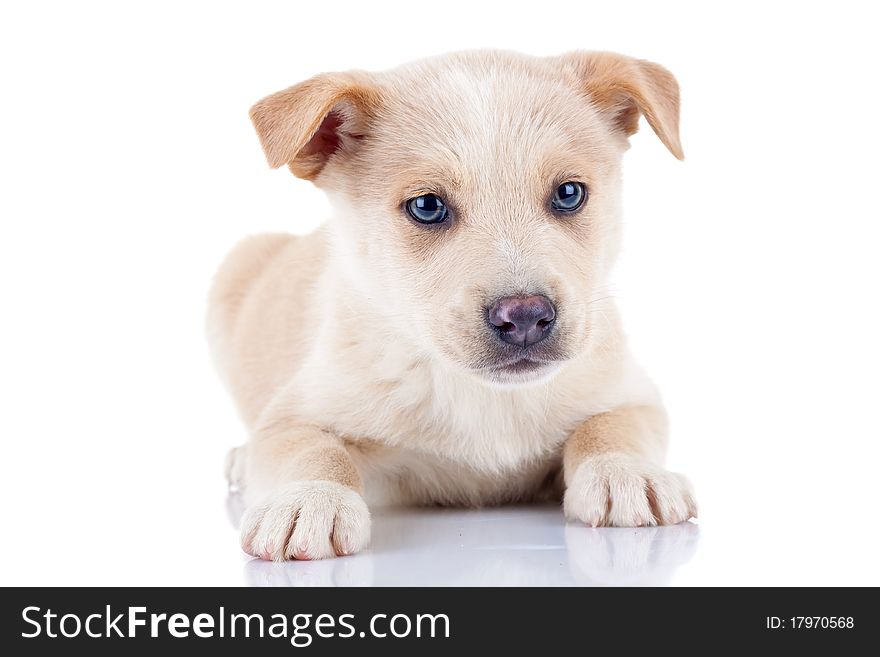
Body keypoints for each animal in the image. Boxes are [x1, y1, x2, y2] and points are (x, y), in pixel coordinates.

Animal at [208, 50, 696, 560]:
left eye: (569, 193)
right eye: (426, 206)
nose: (525, 316)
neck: (481, 393)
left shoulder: (631, 392)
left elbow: (610, 426)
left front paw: (626, 472)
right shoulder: (297, 410)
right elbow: (310, 447)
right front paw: (308, 498)